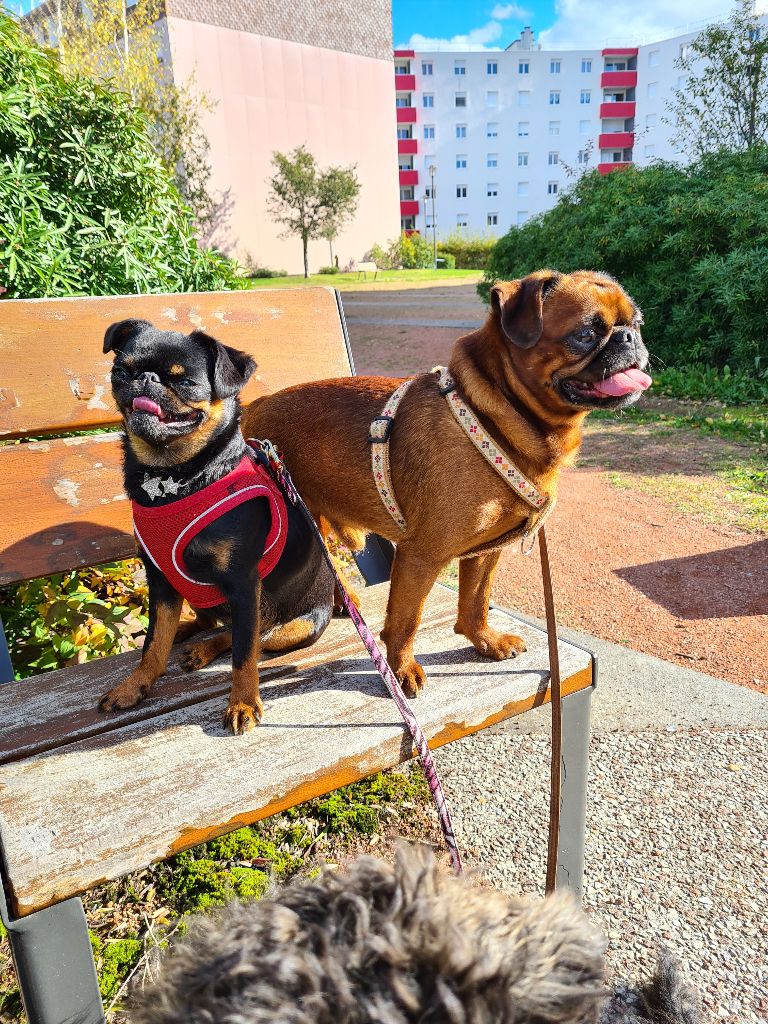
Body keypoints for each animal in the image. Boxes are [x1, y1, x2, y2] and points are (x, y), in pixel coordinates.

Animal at [98, 317, 333, 729]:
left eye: (186, 382)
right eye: (121, 372)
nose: (146, 378)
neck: (172, 476)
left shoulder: (242, 582)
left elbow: (243, 654)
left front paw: (242, 703)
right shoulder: (160, 582)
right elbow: (152, 642)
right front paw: (135, 685)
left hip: (290, 625)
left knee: (251, 636)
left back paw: (206, 649)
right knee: (212, 623)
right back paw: (188, 633)